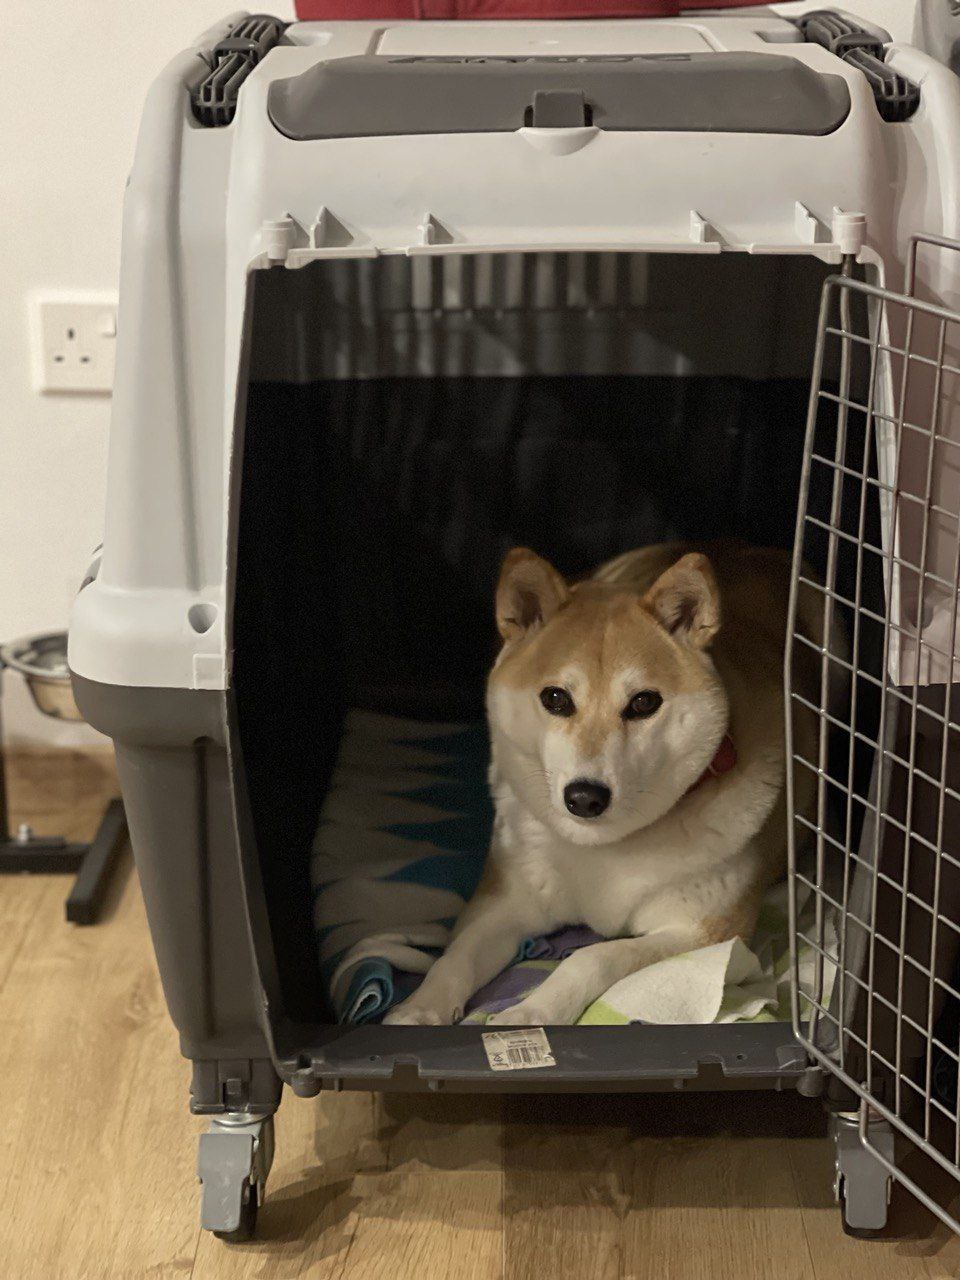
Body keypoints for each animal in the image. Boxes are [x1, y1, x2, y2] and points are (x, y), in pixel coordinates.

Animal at [384, 541, 825, 1027]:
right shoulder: (505, 900)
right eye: (555, 698)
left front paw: (532, 1011)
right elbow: (455, 956)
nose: (585, 796)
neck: (603, 849)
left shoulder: (705, 934)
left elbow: (593, 957)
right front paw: (419, 1008)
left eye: (644, 702)